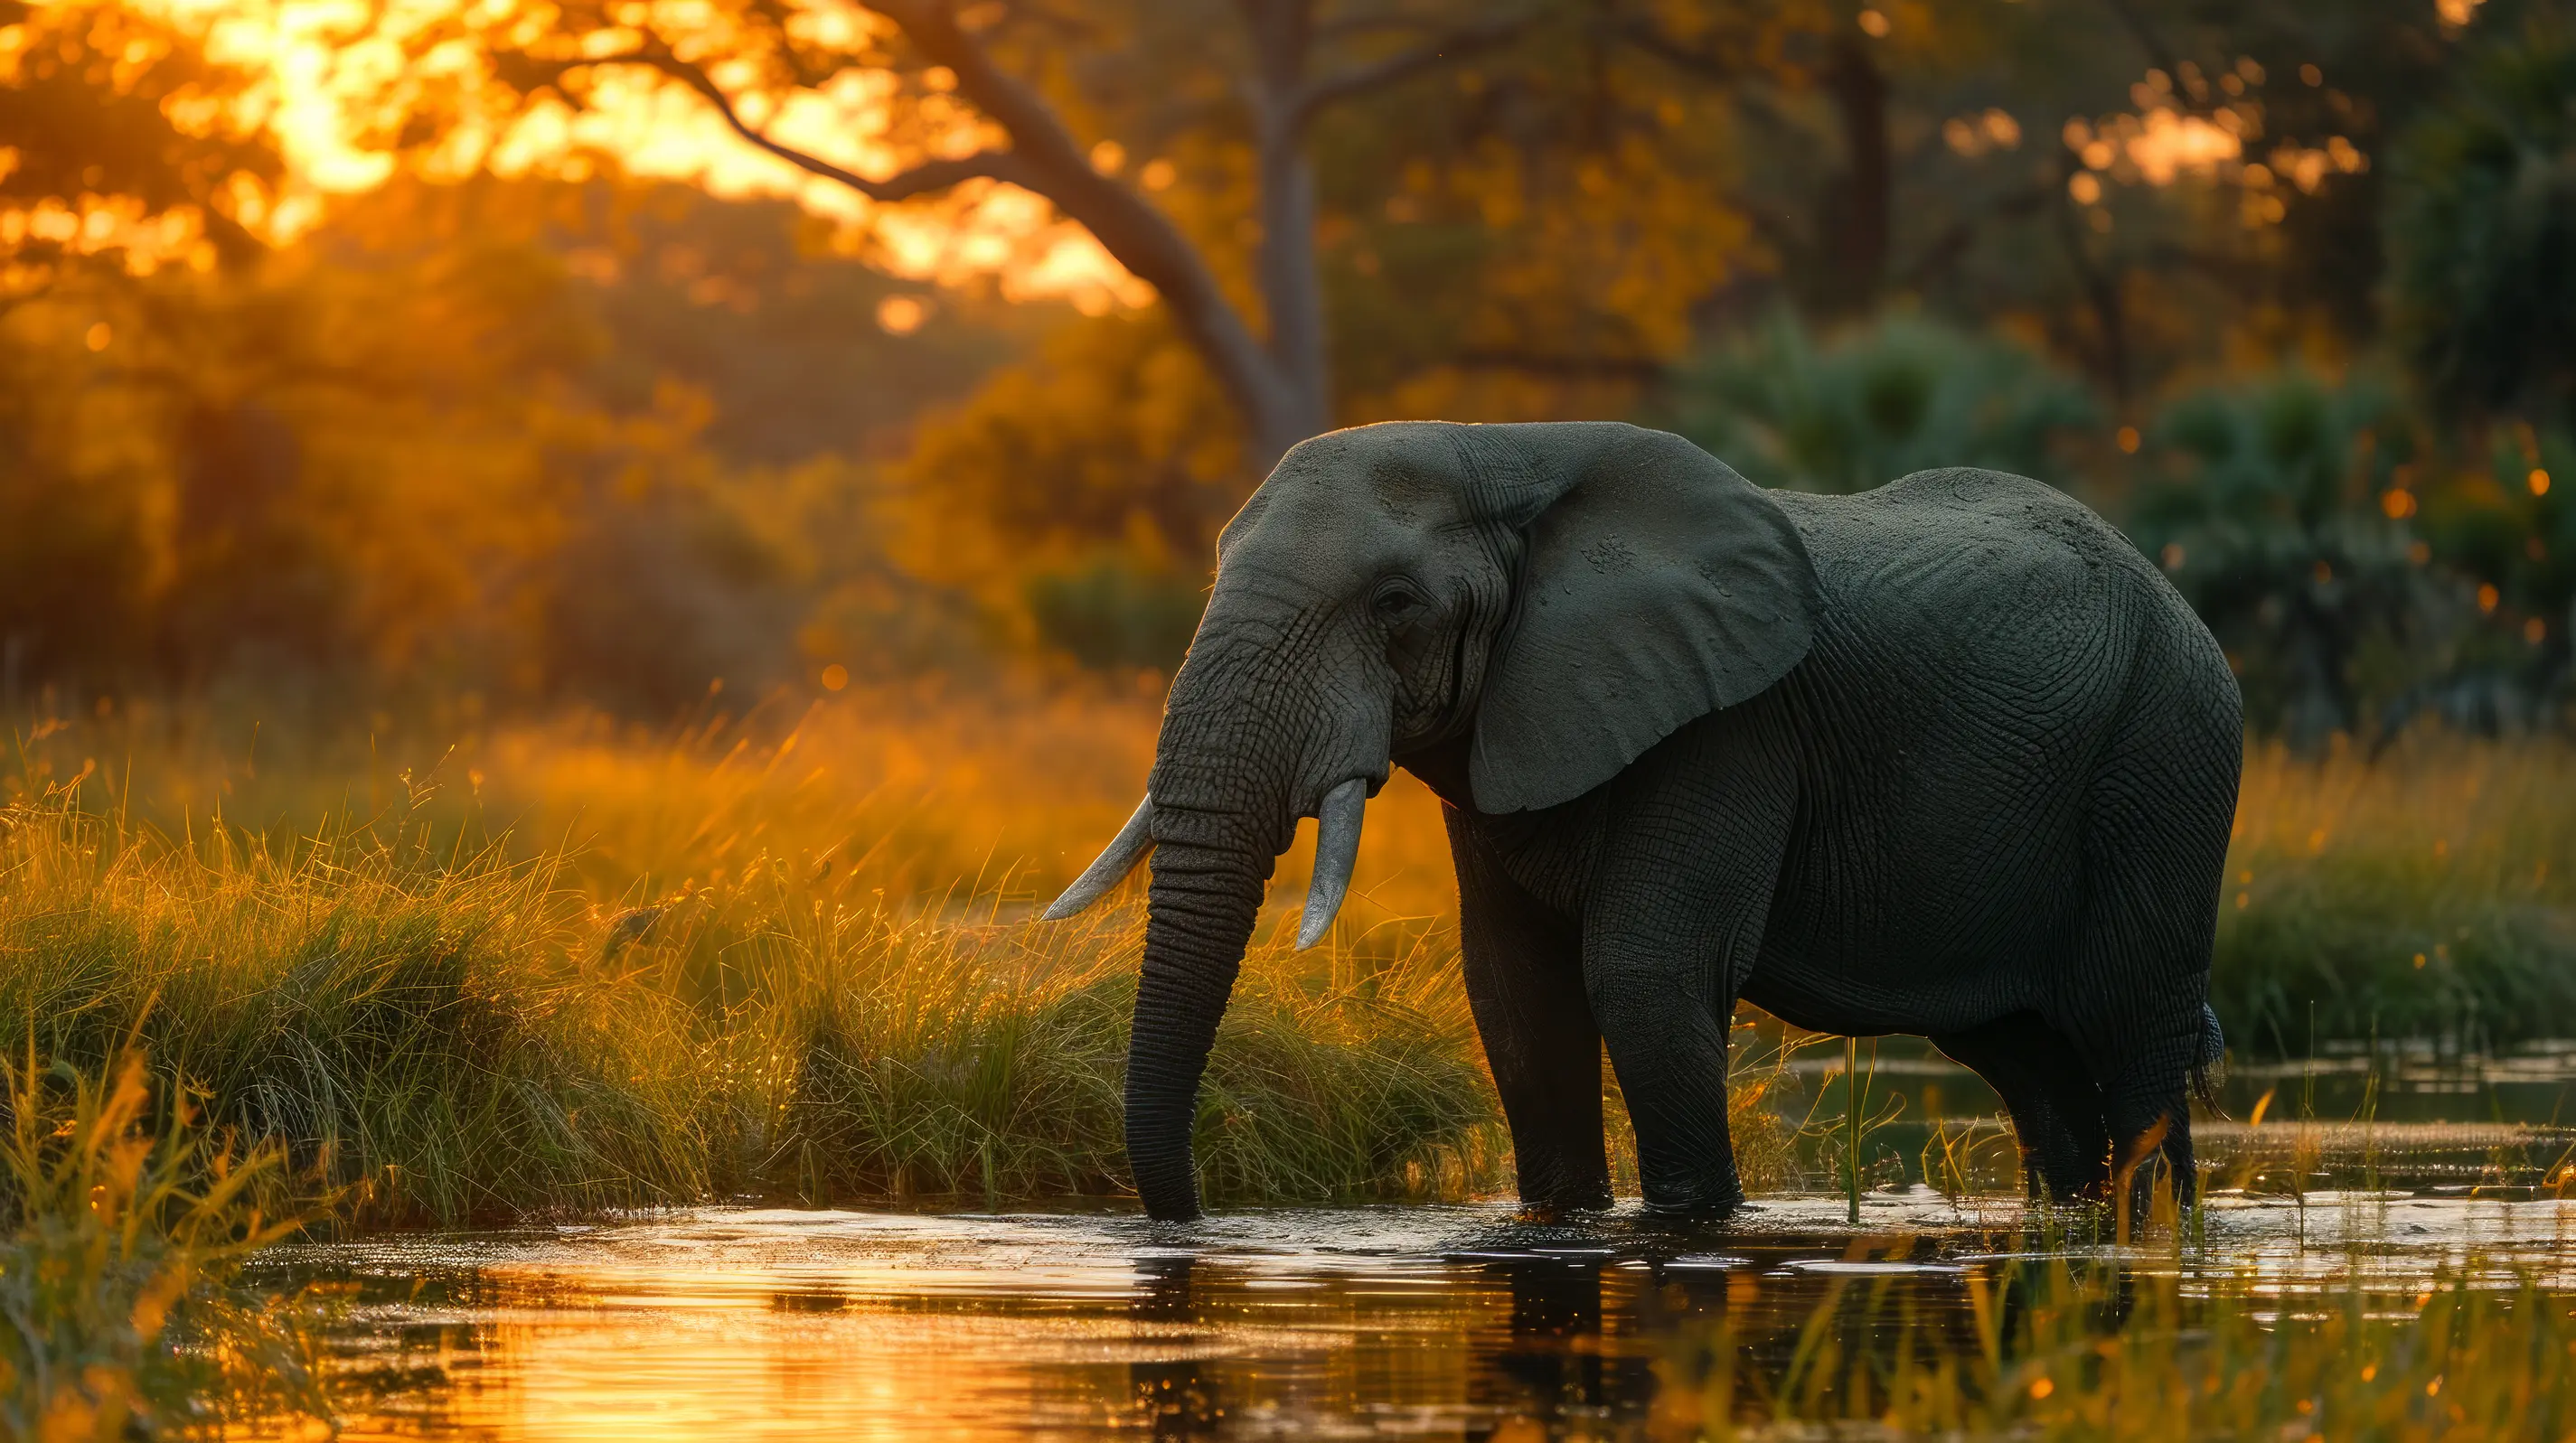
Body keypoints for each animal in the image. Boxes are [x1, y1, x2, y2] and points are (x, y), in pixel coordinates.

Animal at [1046, 421, 2242, 1222]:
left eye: (1395, 604)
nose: (1199, 1220)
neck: (1507, 456)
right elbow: (1515, 987)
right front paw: (1565, 1220)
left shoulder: (1734, 726)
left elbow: (1643, 970)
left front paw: (1687, 1225)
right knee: (2030, 1052)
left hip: (2168, 751)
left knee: (2131, 1018)